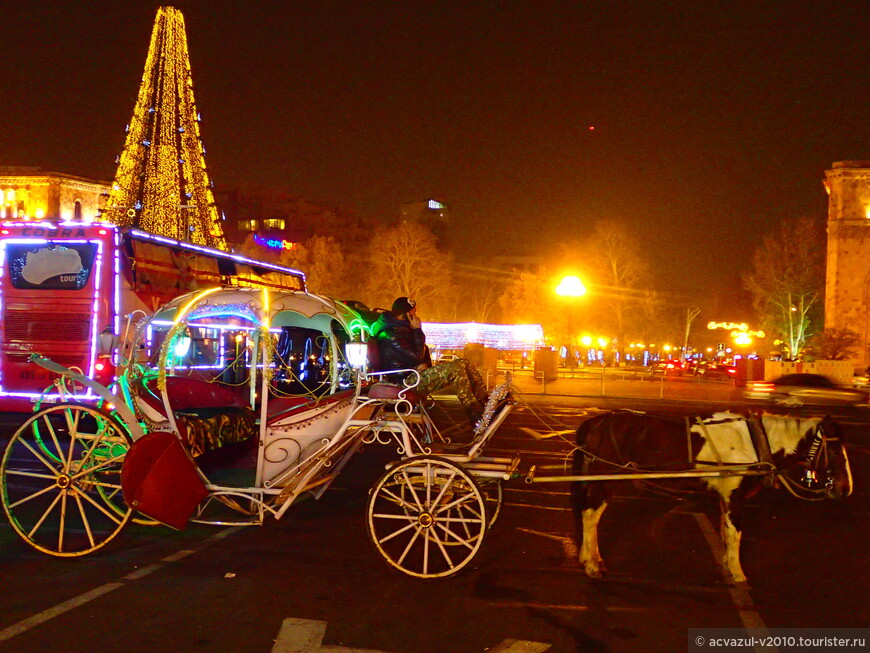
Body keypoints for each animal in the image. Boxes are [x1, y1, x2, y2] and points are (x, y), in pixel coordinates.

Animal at [572, 410, 852, 584]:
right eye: (835, 450)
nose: (845, 488)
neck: (754, 442)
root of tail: (596, 423)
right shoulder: (735, 495)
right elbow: (735, 533)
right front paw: (738, 573)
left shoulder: (725, 495)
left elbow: (725, 530)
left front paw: (729, 564)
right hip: (606, 479)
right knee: (590, 515)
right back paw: (591, 564)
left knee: (590, 515)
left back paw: (591, 558)